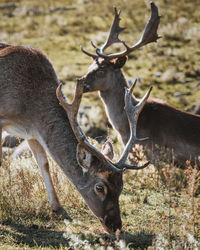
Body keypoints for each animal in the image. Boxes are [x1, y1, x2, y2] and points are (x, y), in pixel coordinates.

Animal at [0, 41, 152, 232]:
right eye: (99, 187)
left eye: (121, 186)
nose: (116, 225)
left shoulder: (31, 133)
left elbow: (44, 163)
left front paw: (59, 210)